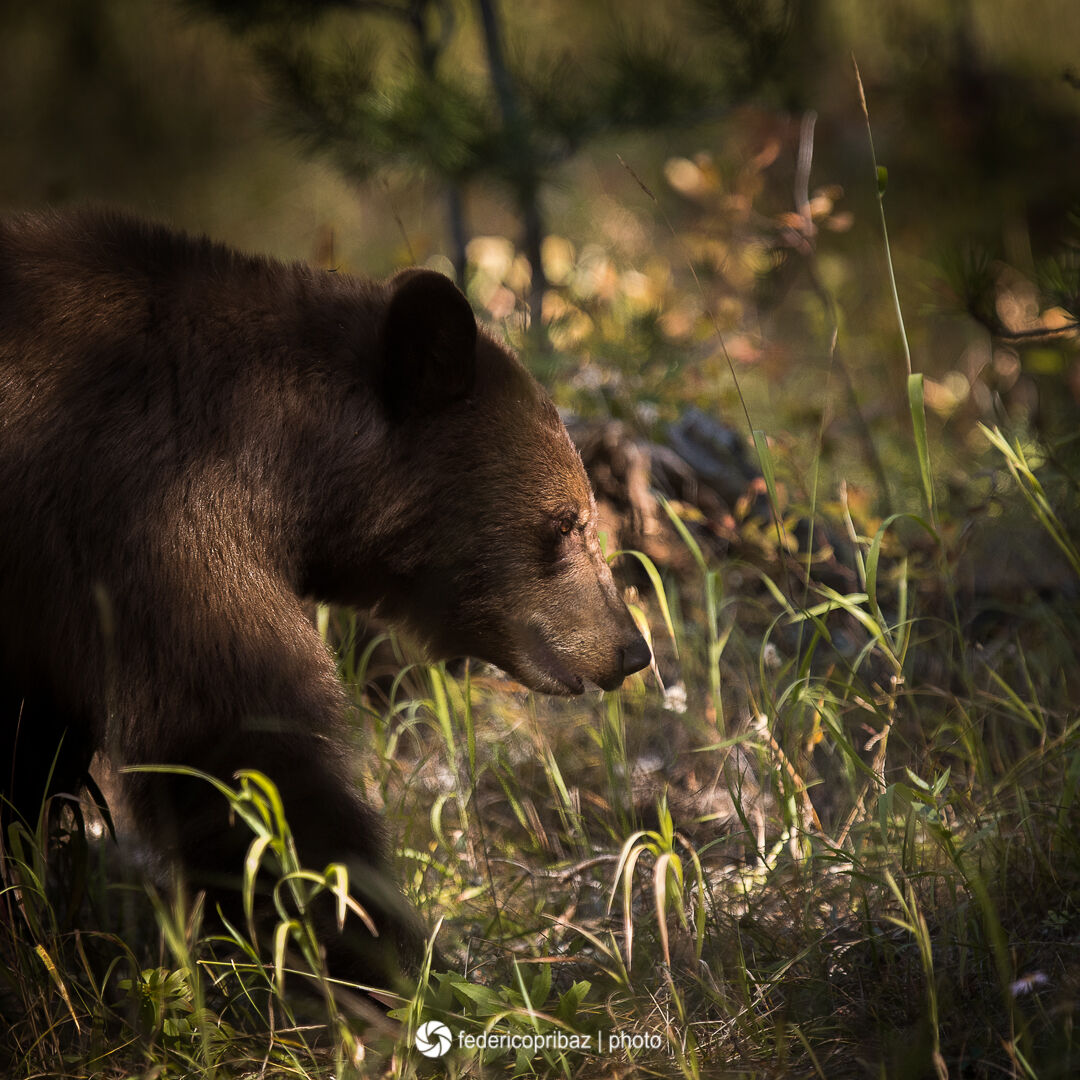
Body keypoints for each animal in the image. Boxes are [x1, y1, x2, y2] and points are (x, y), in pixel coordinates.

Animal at [0, 208, 651, 985]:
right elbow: (243, 753)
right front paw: (381, 966)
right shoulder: (147, 525)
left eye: (583, 512)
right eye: (566, 521)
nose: (631, 647)